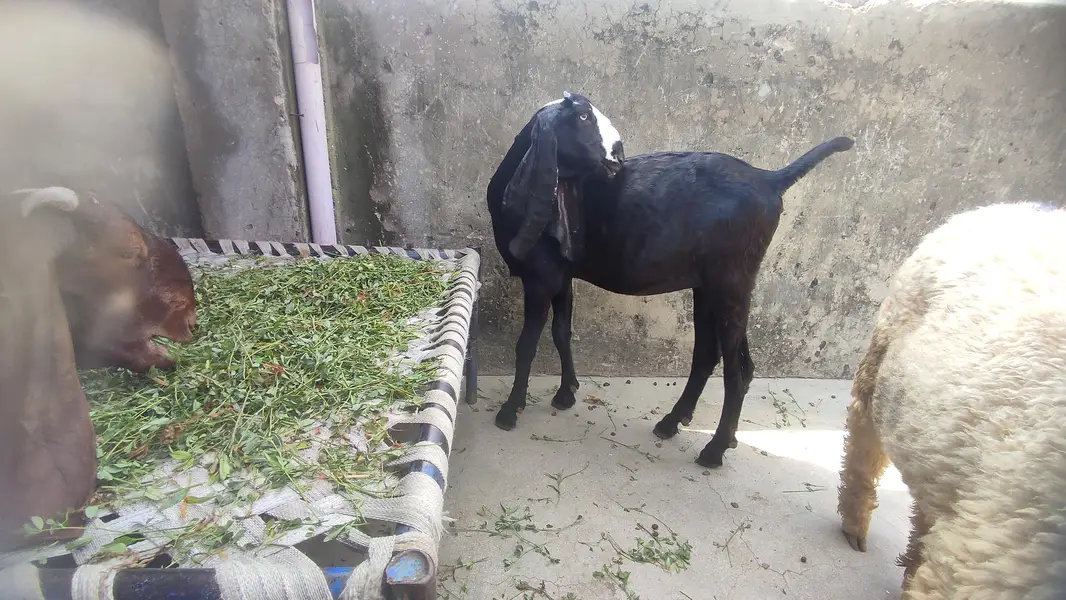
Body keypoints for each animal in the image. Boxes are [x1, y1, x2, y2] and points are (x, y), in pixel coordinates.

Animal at [487, 92, 853, 468]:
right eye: (583, 117)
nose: (618, 155)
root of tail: (770, 179)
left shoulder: (540, 276)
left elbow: (527, 344)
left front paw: (510, 411)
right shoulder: (561, 274)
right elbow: (562, 333)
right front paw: (565, 394)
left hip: (730, 279)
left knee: (735, 370)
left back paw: (713, 450)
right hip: (712, 286)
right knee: (713, 357)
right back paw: (675, 423)